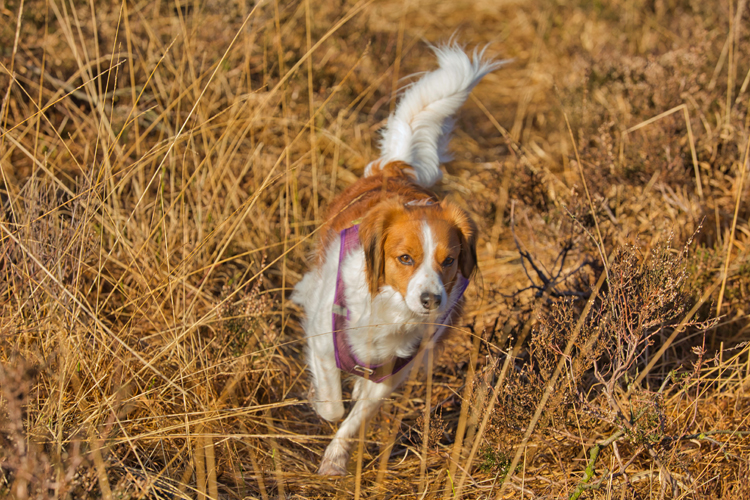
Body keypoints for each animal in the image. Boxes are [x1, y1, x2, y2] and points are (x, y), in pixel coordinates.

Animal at [294, 45, 506, 474]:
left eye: (449, 261)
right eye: (405, 258)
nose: (431, 300)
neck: (387, 308)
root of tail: (396, 170)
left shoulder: (393, 372)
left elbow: (355, 417)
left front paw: (335, 459)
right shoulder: (322, 335)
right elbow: (332, 406)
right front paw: (319, 400)